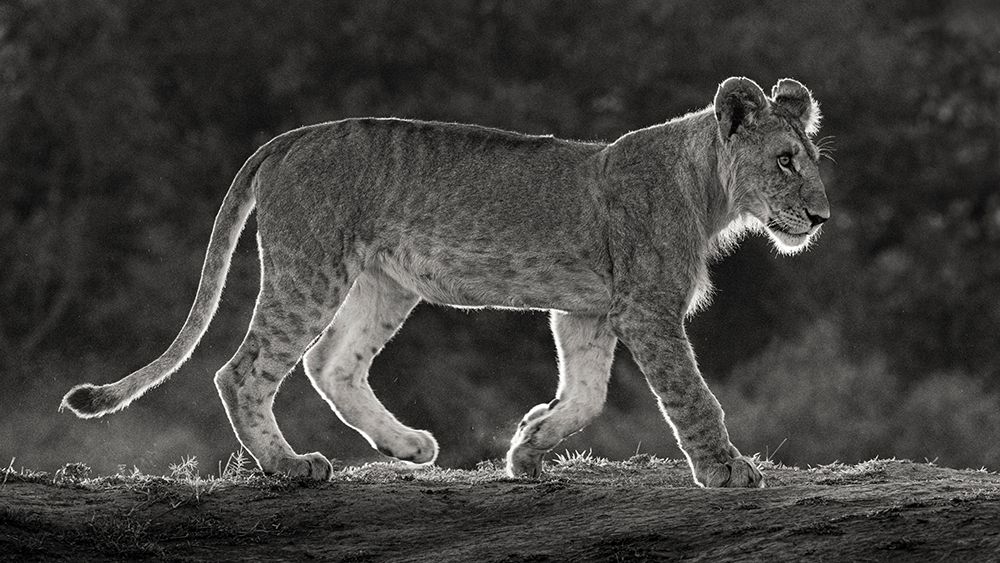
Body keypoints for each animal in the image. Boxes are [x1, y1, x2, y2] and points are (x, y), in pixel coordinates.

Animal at [62, 76, 828, 488]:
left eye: (814, 160)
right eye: (785, 161)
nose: (820, 216)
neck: (708, 190)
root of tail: (290, 138)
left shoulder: (586, 312)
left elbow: (585, 395)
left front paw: (529, 446)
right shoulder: (647, 309)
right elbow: (694, 398)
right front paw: (728, 471)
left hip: (384, 281)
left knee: (331, 363)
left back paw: (409, 447)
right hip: (310, 265)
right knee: (243, 369)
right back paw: (289, 465)